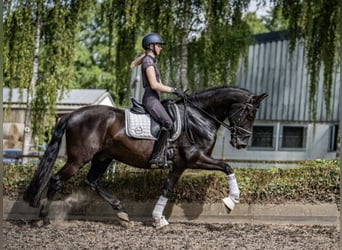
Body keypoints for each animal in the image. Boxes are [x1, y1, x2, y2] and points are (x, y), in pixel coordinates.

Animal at [24, 85, 268, 229]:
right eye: (249, 113)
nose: (241, 143)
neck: (199, 116)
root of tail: (73, 114)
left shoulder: (179, 165)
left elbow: (167, 190)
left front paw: (158, 218)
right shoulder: (194, 158)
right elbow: (227, 167)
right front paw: (231, 201)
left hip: (103, 157)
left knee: (91, 181)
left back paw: (122, 213)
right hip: (78, 160)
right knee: (56, 180)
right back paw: (44, 218)